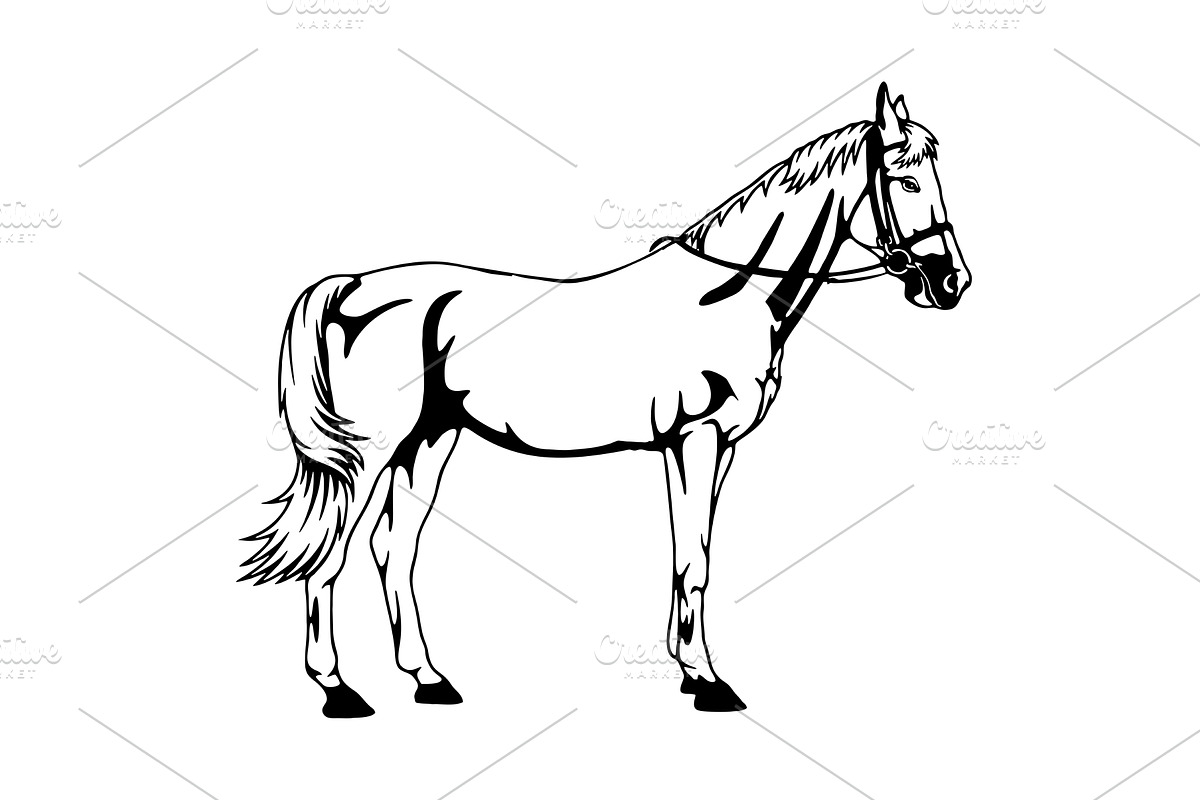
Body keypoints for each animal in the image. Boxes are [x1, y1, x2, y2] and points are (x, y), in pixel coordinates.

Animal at [242, 83, 971, 716]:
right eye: (905, 180)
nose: (951, 283)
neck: (729, 293)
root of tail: (354, 284)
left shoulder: (709, 449)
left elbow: (689, 557)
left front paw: (690, 671)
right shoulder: (696, 438)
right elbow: (695, 562)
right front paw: (710, 683)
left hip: (429, 442)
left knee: (394, 549)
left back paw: (428, 679)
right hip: (368, 453)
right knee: (331, 557)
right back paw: (338, 691)